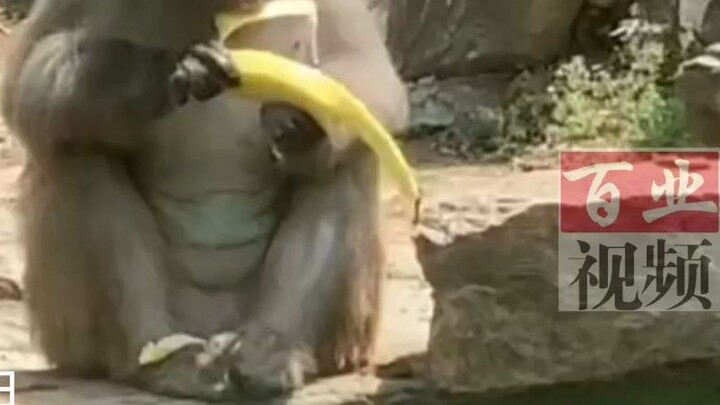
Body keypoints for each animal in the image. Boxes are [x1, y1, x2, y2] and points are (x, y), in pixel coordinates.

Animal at [0, 0, 408, 400]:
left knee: (347, 159)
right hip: (77, 334)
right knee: (76, 149)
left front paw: (303, 123)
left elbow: (367, 70)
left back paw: (275, 347)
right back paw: (160, 353)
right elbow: (25, 79)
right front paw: (147, 73)